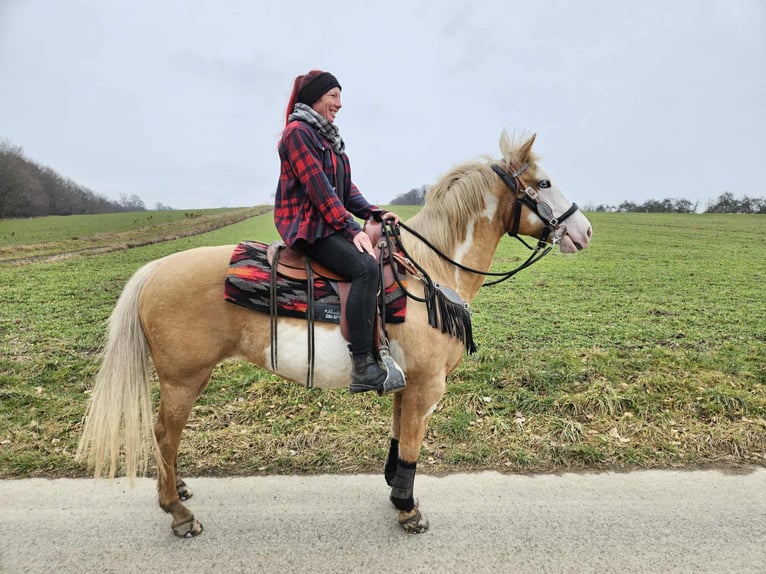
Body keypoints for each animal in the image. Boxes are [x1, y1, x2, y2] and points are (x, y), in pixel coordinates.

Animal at [77, 131, 592, 537]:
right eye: (544, 183)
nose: (584, 231)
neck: (428, 269)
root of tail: (155, 270)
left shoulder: (406, 384)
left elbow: (398, 441)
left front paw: (396, 493)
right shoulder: (427, 385)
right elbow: (412, 445)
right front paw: (409, 511)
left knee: (167, 436)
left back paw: (177, 489)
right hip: (183, 379)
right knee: (165, 434)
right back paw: (178, 512)